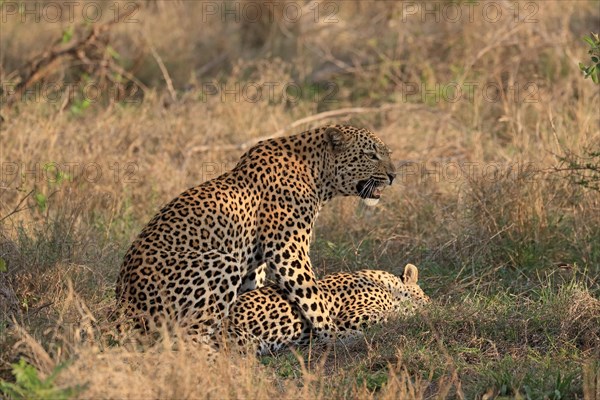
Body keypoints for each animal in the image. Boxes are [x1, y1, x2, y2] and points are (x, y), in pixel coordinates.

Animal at [116, 124, 398, 340]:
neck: (317, 174)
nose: (394, 175)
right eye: (371, 155)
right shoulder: (288, 250)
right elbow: (312, 296)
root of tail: (123, 305)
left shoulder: (257, 263)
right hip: (222, 262)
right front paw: (334, 334)